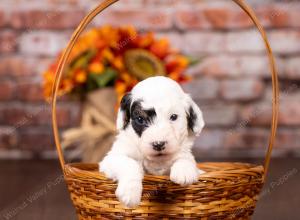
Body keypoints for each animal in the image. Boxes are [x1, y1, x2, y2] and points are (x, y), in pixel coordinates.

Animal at [99, 76, 205, 207]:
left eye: (173, 117)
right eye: (140, 119)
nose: (158, 144)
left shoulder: (184, 153)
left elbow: (186, 159)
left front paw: (184, 171)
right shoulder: (112, 159)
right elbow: (130, 163)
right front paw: (130, 193)